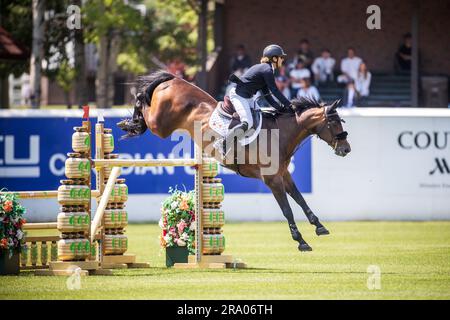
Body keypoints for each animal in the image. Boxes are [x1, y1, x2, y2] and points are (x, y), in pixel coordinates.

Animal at [118, 70, 350, 252]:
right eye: (334, 123)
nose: (346, 149)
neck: (280, 134)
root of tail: (172, 79)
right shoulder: (272, 180)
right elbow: (287, 209)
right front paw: (301, 241)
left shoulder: (283, 174)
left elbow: (300, 199)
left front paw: (319, 226)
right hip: (161, 125)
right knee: (142, 102)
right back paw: (129, 121)